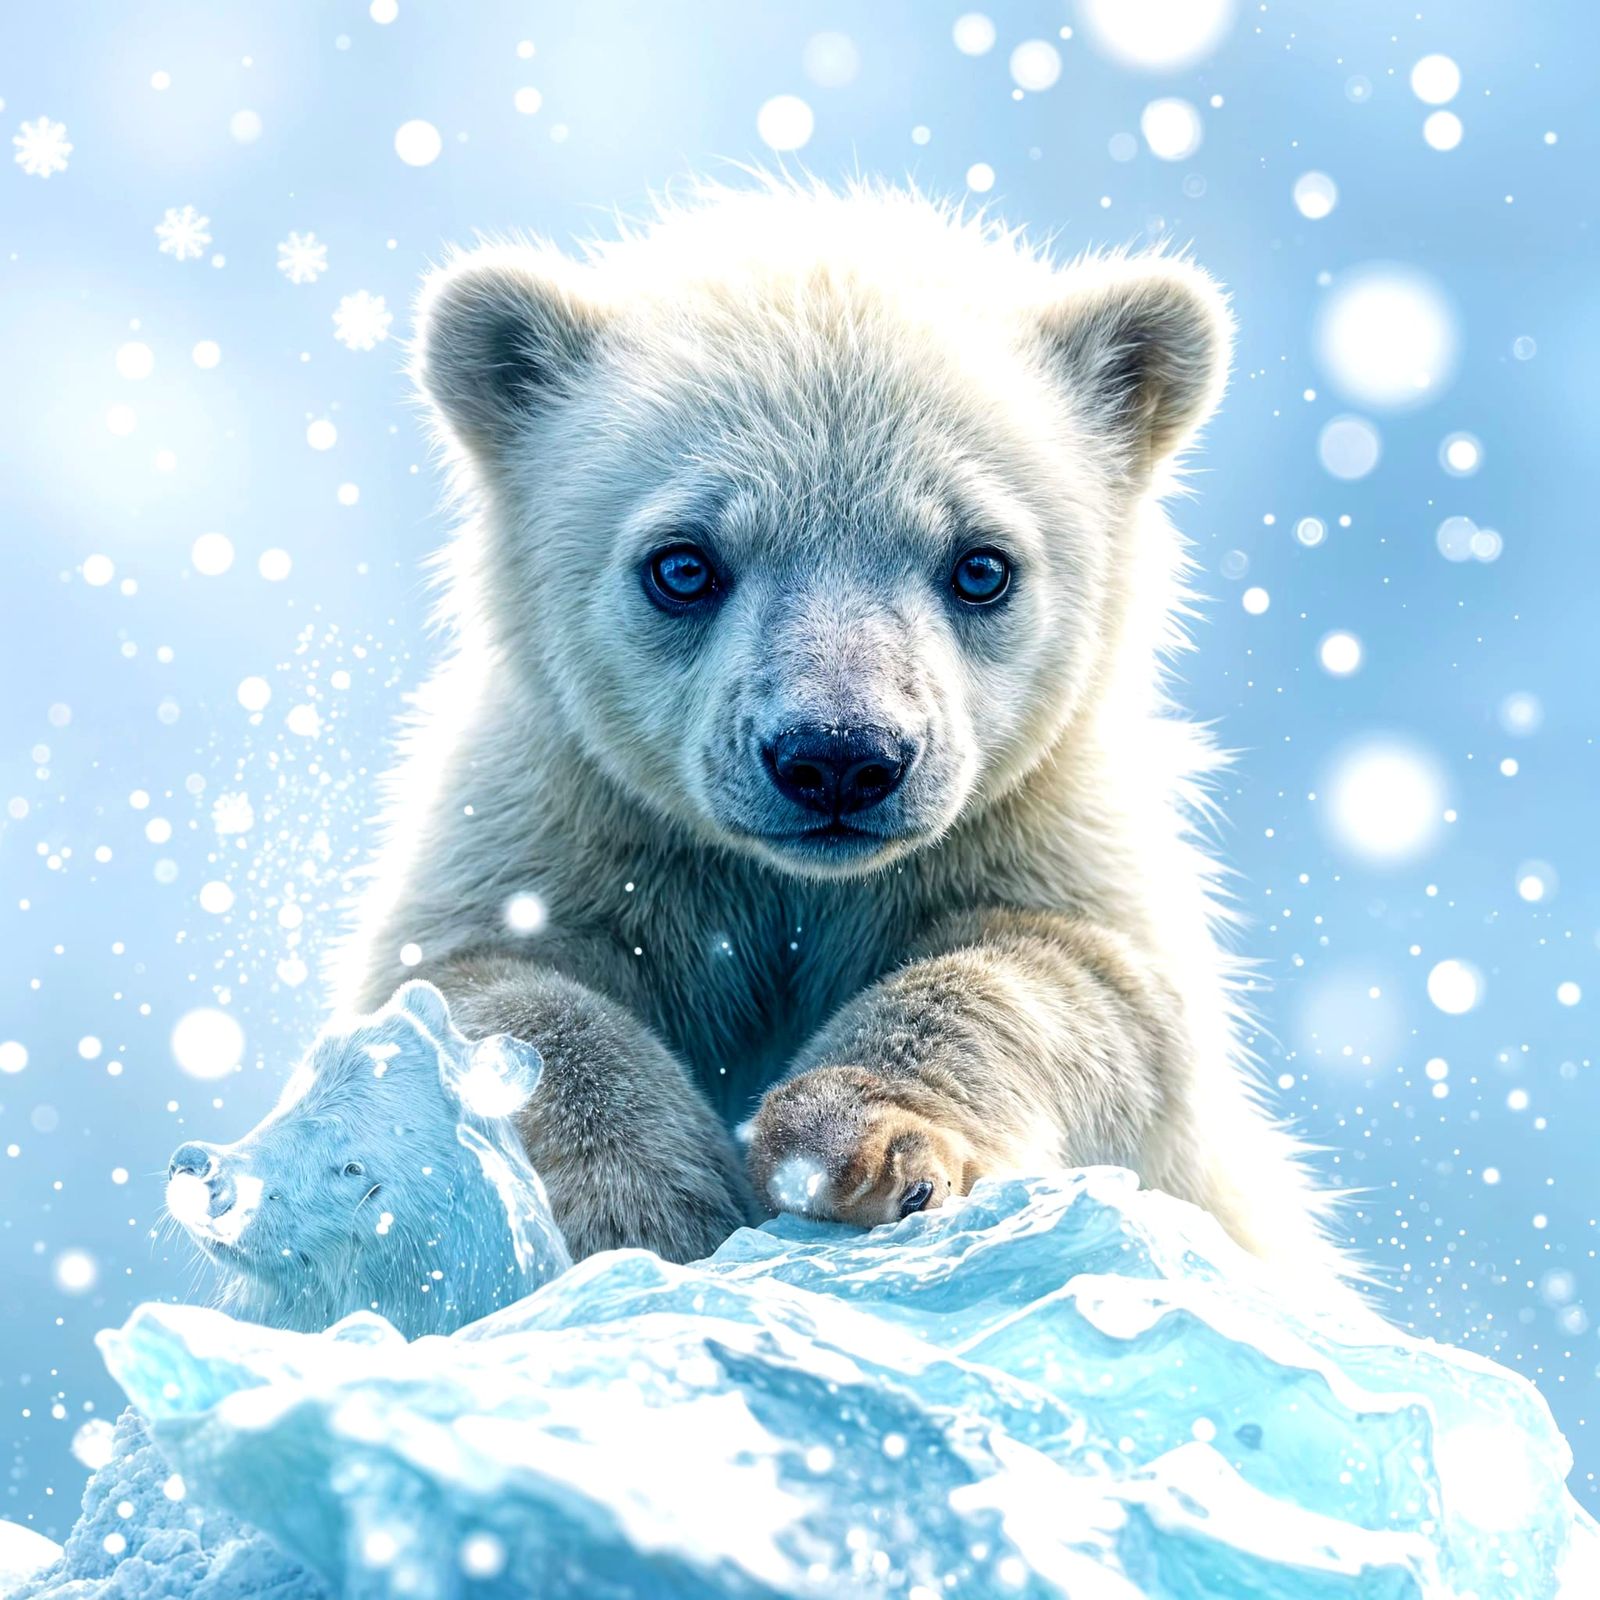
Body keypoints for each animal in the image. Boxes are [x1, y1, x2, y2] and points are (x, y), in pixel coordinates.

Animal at [331, 176, 1341, 1283]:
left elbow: (1072, 976)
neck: (795, 888)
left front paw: (861, 1144)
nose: (840, 759)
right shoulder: (559, 814)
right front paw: (651, 1211)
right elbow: (479, 992)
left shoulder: (1050, 826)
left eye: (981, 564)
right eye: (680, 563)